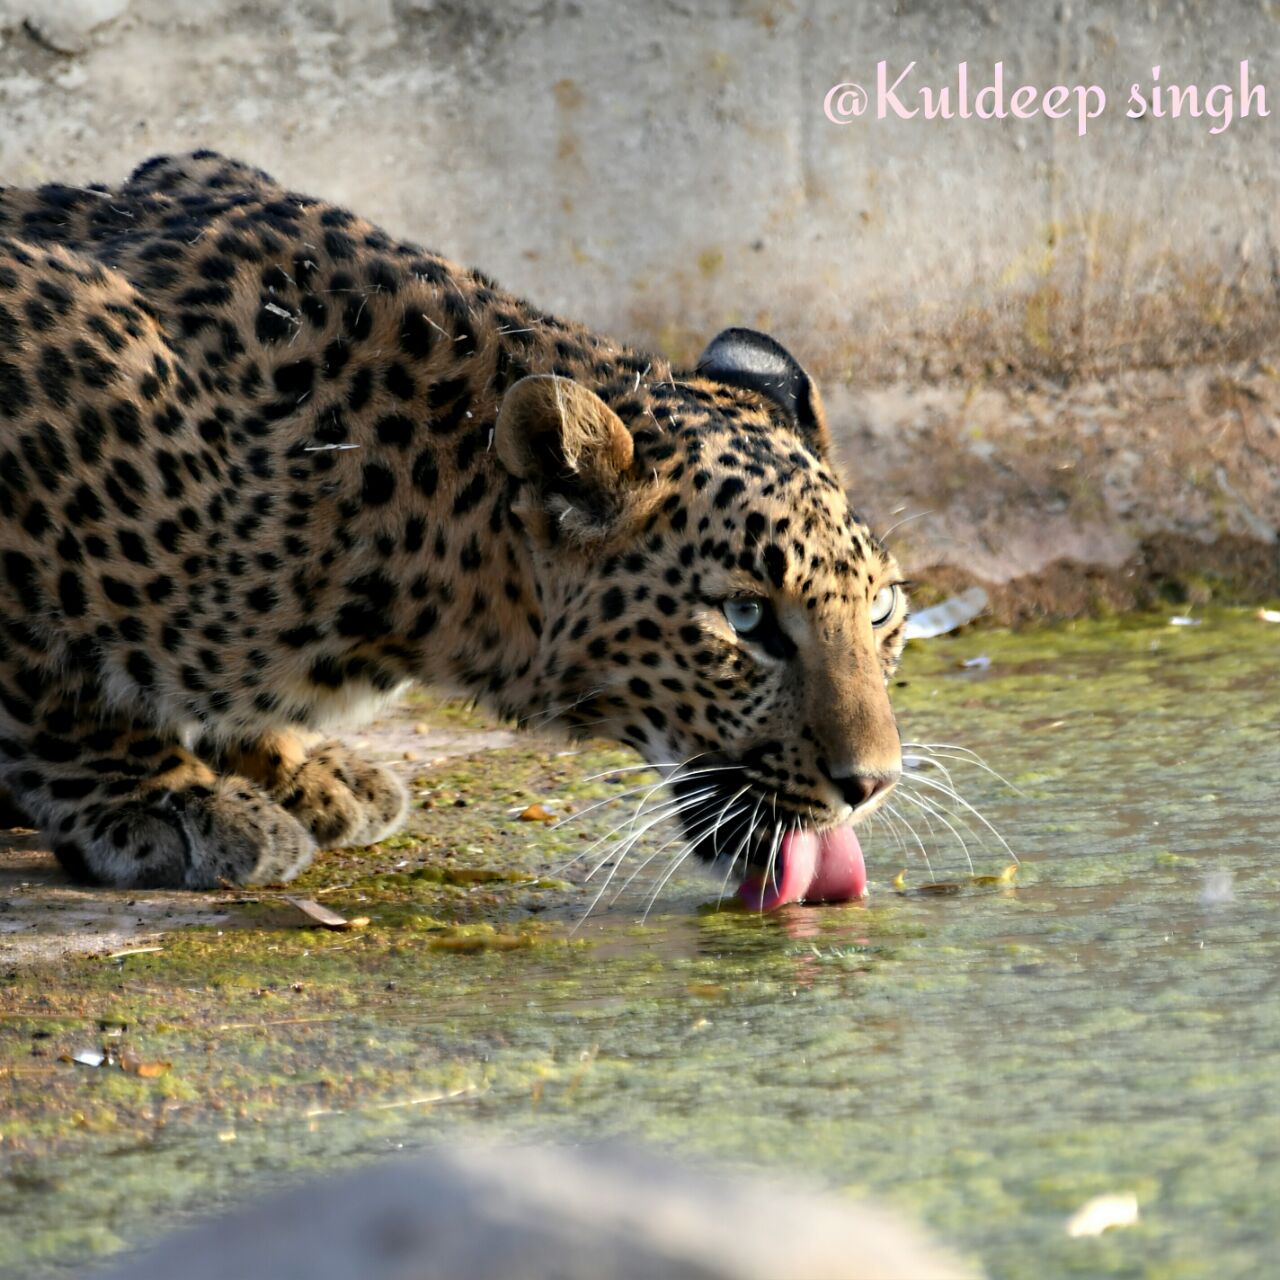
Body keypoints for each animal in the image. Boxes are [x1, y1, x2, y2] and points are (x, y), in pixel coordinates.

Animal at [0, 151, 909, 906]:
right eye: (745, 618)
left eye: (881, 610)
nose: (873, 785)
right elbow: (53, 680)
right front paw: (162, 796)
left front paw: (295, 765)